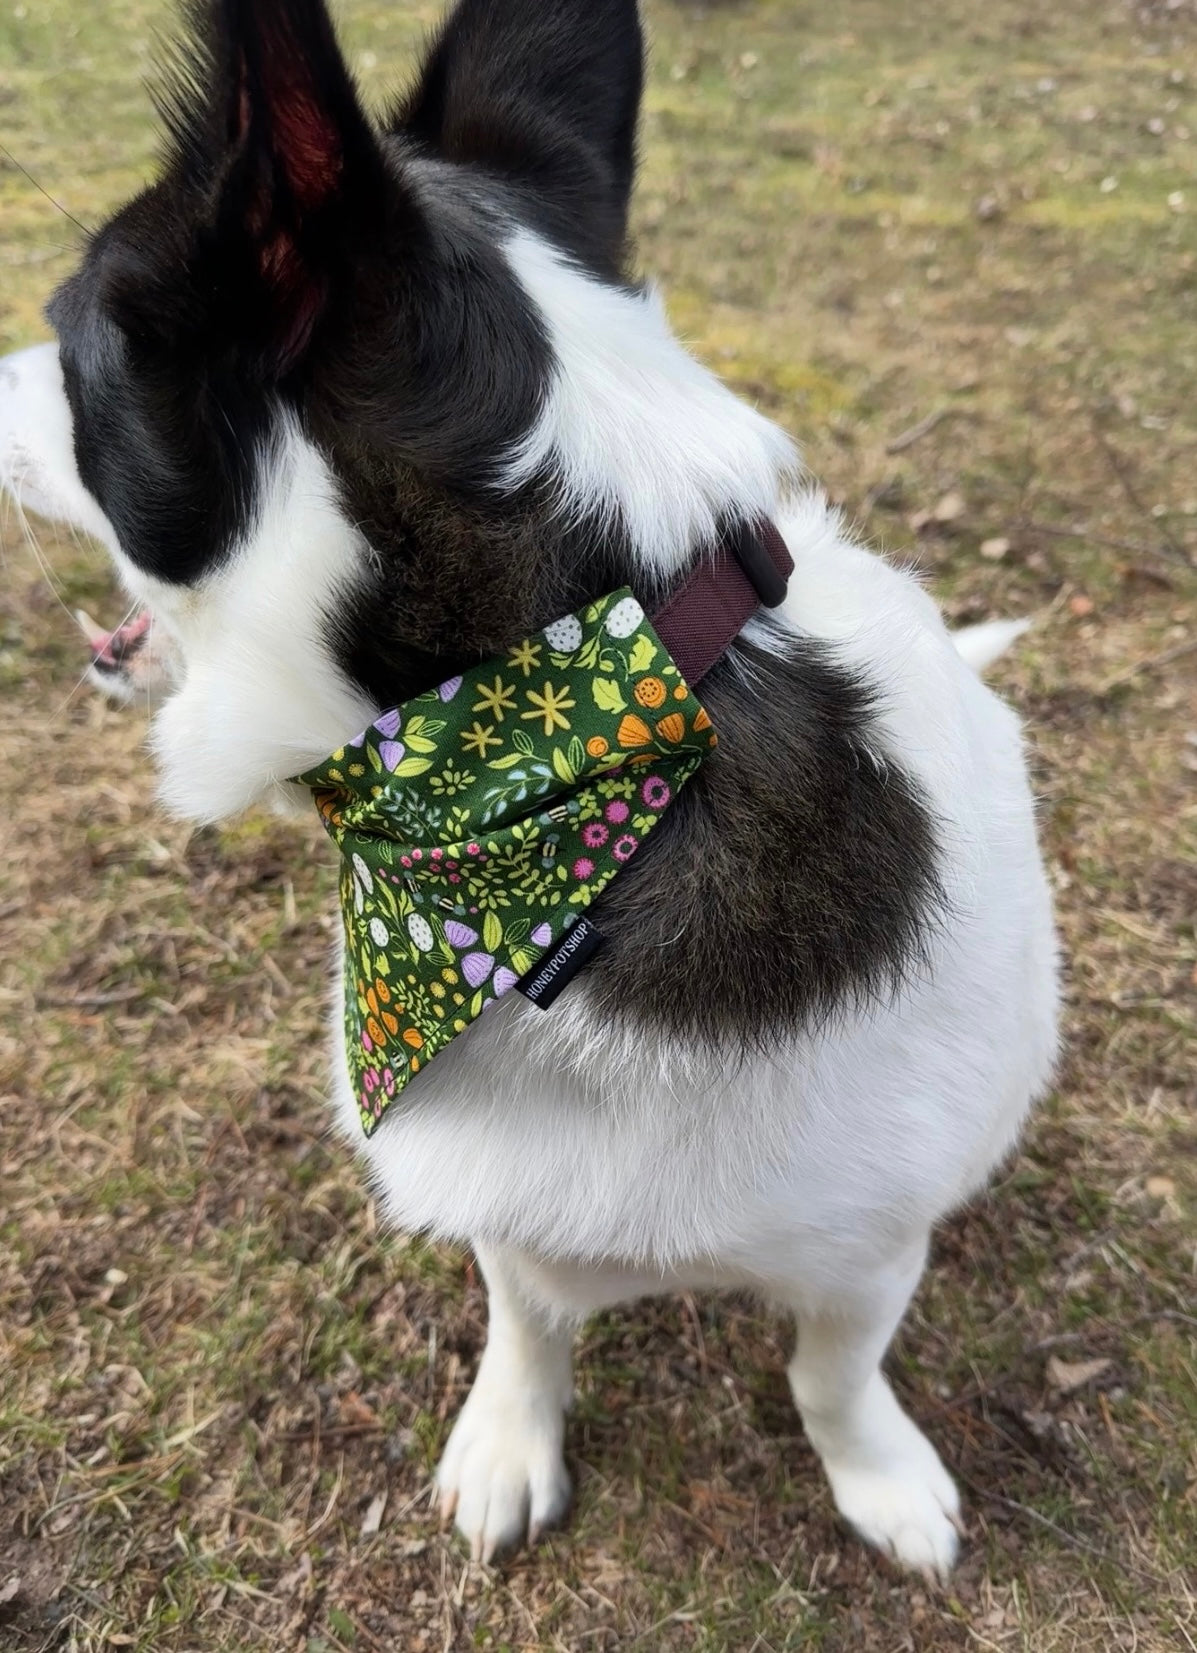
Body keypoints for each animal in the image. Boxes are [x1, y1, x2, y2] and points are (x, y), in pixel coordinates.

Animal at [0, 0, 1058, 1573]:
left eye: (69, 339)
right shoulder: (508, 1207)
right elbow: (527, 1319)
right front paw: (511, 1437)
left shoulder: (870, 1251)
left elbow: (831, 1372)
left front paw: (875, 1476)